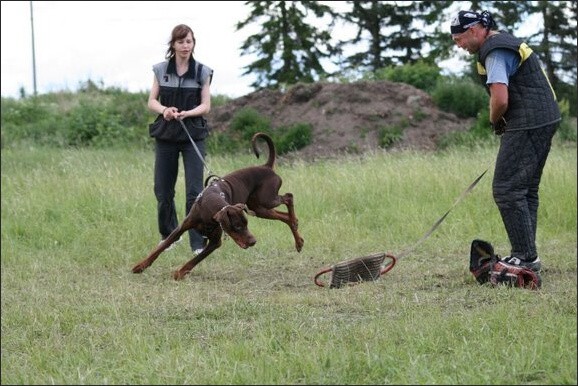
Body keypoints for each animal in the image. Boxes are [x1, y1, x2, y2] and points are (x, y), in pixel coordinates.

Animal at [129, 133, 302, 280]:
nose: (253, 242)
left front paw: (179, 273)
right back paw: (297, 236)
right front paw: (140, 266)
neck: (209, 210)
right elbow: (162, 246)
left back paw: (295, 226)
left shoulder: (214, 242)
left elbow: (195, 259)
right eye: (238, 226)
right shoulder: (181, 228)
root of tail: (266, 167)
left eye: (246, 225)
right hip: (259, 207)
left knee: (289, 197)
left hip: (266, 200)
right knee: (285, 214)